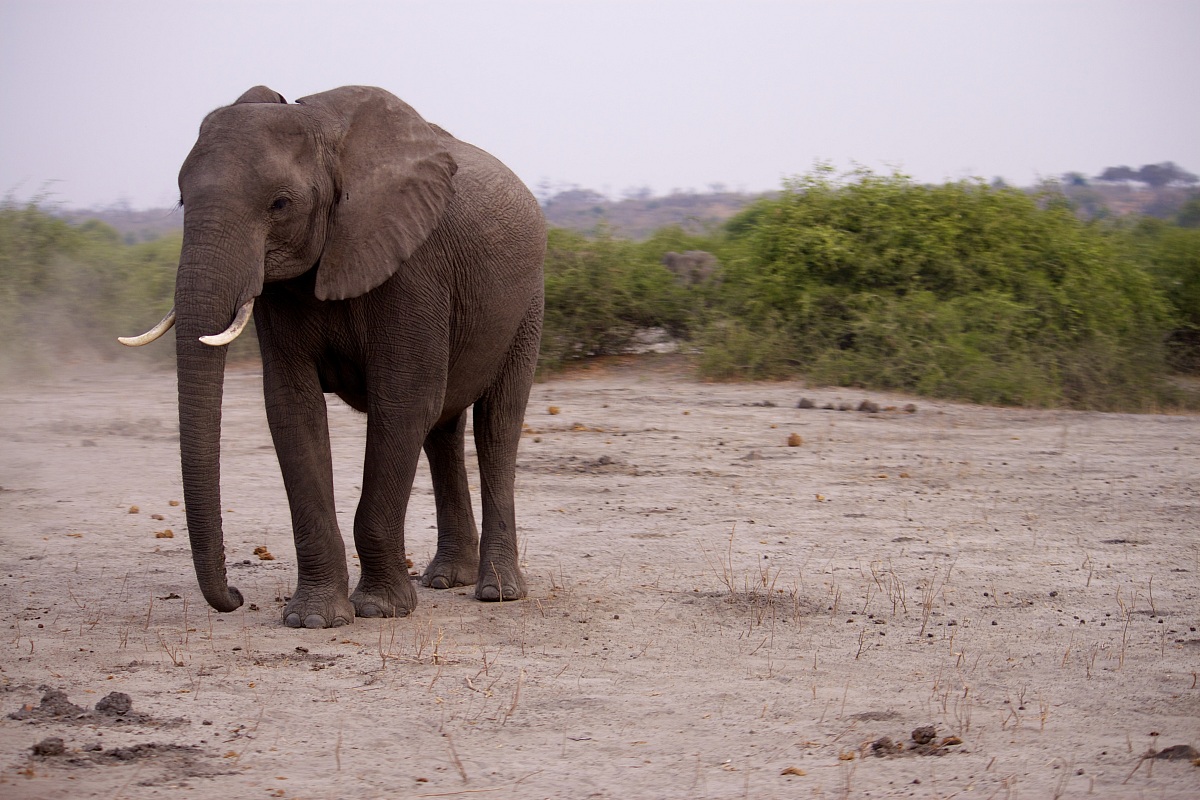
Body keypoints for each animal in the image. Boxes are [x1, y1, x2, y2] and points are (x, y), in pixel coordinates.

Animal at [120, 85, 545, 629]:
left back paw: (497, 591)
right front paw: (314, 619)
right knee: (442, 432)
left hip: (528, 302)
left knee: (497, 424)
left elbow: (402, 403)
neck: (325, 131)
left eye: (280, 203)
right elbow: (292, 409)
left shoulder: (414, 267)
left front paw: (380, 610)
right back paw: (446, 579)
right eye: (180, 199)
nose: (234, 595)